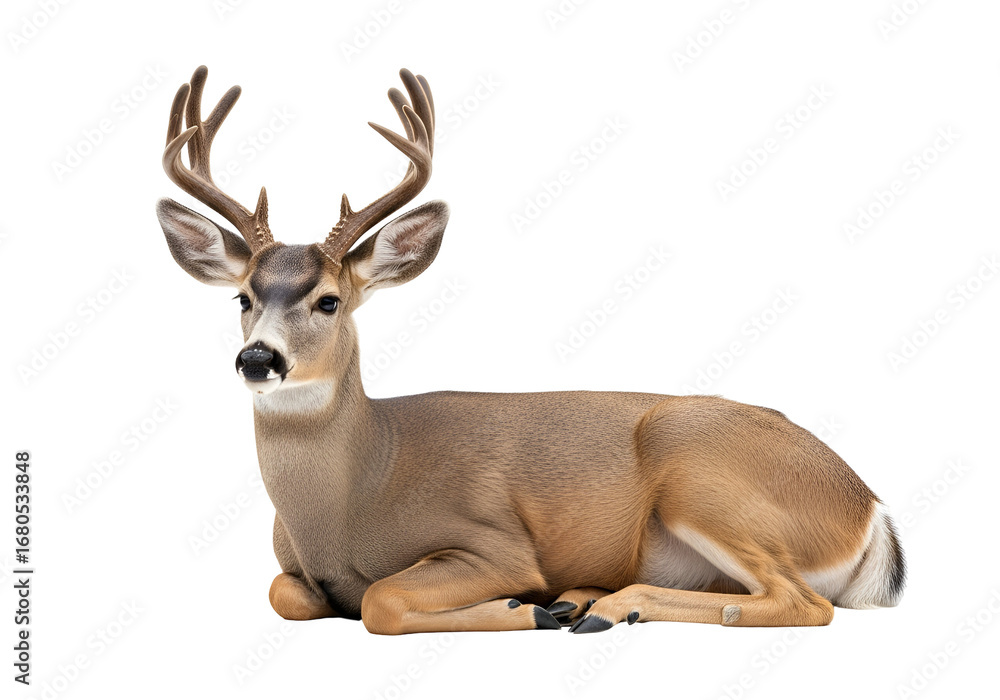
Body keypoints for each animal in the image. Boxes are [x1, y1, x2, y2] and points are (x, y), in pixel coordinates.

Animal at [155, 66, 905, 635]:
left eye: (329, 301)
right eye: (242, 298)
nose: (259, 360)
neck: (355, 493)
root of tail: (870, 511)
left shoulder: (494, 542)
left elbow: (381, 599)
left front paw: (528, 606)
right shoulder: (294, 570)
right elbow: (284, 594)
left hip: (701, 471)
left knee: (803, 603)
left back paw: (601, 605)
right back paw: (590, 600)